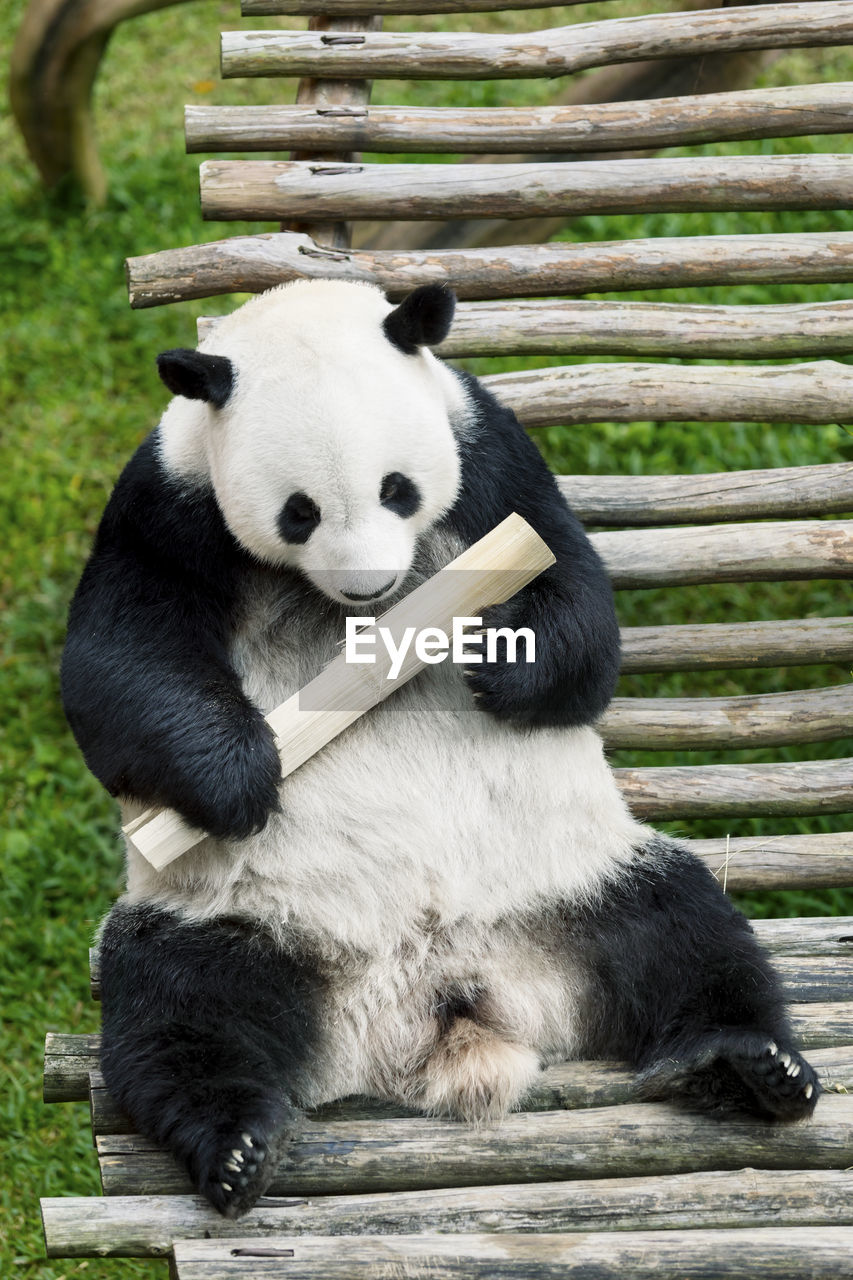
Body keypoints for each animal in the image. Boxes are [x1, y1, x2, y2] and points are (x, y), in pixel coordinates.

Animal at [61, 280, 819, 1218]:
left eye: (397, 489)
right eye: (299, 511)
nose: (369, 586)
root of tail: (442, 1010)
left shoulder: (492, 459)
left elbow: (578, 606)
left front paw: (497, 652)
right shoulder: (166, 507)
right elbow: (118, 667)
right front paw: (241, 779)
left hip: (574, 875)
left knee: (686, 934)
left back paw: (751, 1065)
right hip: (232, 915)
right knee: (179, 1007)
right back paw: (233, 1145)